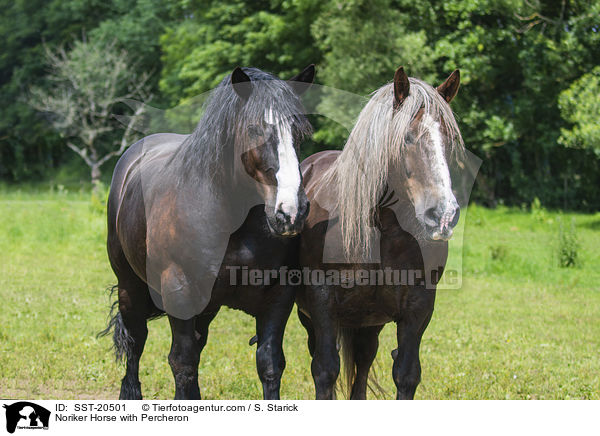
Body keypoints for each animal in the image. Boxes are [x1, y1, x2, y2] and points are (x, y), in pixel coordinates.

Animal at [104, 64, 314, 398]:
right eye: (254, 129)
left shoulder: (278, 296)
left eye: (300, 133)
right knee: (136, 342)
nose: (291, 212)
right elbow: (182, 363)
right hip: (129, 286)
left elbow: (269, 363)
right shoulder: (179, 293)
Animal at [296, 65, 464, 398]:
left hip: (368, 323)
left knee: (362, 365)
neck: (382, 230)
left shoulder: (418, 307)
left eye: (450, 138)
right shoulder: (321, 303)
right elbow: (325, 371)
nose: (443, 215)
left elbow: (406, 374)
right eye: (408, 137)